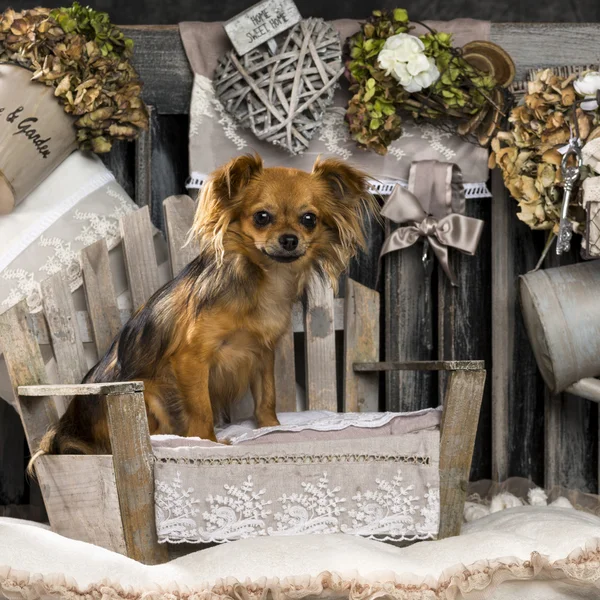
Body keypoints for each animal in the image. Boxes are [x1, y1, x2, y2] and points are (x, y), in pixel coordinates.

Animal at [31, 152, 376, 458]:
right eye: (262, 217)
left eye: (309, 220)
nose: (290, 239)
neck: (265, 280)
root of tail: (66, 433)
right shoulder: (192, 359)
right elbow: (201, 408)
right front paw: (207, 441)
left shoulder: (261, 354)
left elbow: (266, 397)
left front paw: (272, 428)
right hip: (152, 394)